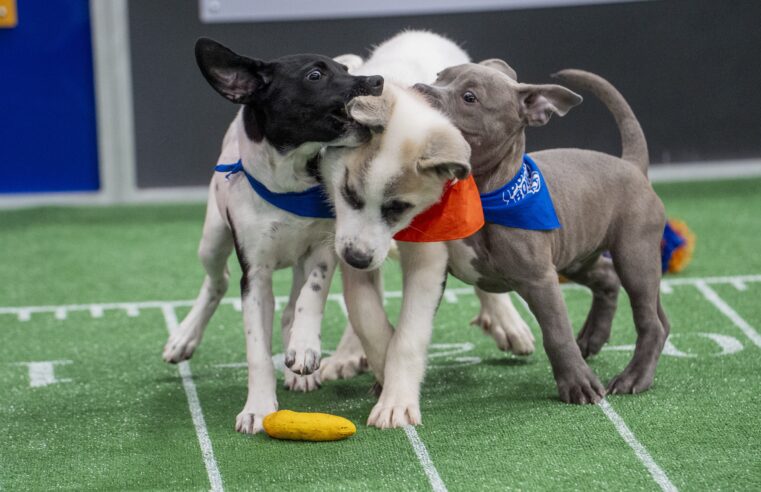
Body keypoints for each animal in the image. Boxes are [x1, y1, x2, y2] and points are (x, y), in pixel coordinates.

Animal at [163, 38, 382, 432]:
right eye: (315, 75)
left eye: (344, 70)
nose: (378, 81)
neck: (288, 182)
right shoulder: (255, 276)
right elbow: (257, 350)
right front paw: (259, 406)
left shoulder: (322, 248)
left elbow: (310, 296)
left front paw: (305, 348)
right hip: (212, 239)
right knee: (217, 280)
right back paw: (184, 336)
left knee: (289, 307)